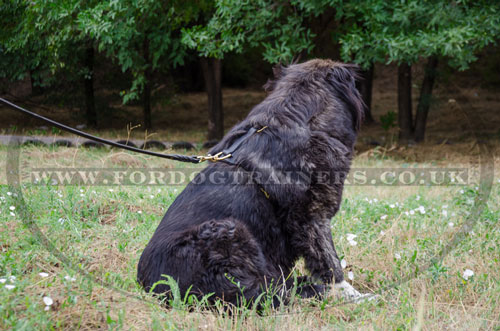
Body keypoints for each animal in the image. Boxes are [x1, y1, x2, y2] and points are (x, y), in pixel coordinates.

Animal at [139, 58, 366, 308]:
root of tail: (152, 289)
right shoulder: (312, 217)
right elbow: (330, 261)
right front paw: (352, 296)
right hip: (228, 231)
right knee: (262, 295)